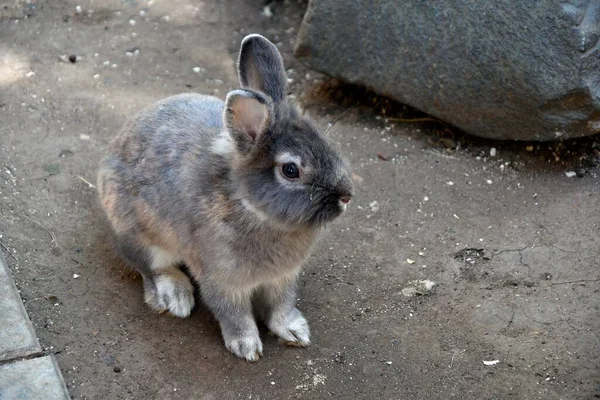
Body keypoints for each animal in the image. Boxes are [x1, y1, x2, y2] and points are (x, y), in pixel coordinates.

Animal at [96, 33, 354, 360]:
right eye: (291, 170)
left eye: (324, 142)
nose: (346, 196)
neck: (250, 207)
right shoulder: (221, 281)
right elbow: (234, 314)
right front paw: (246, 346)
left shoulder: (283, 279)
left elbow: (281, 305)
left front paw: (295, 332)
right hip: (141, 237)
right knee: (151, 268)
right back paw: (175, 297)